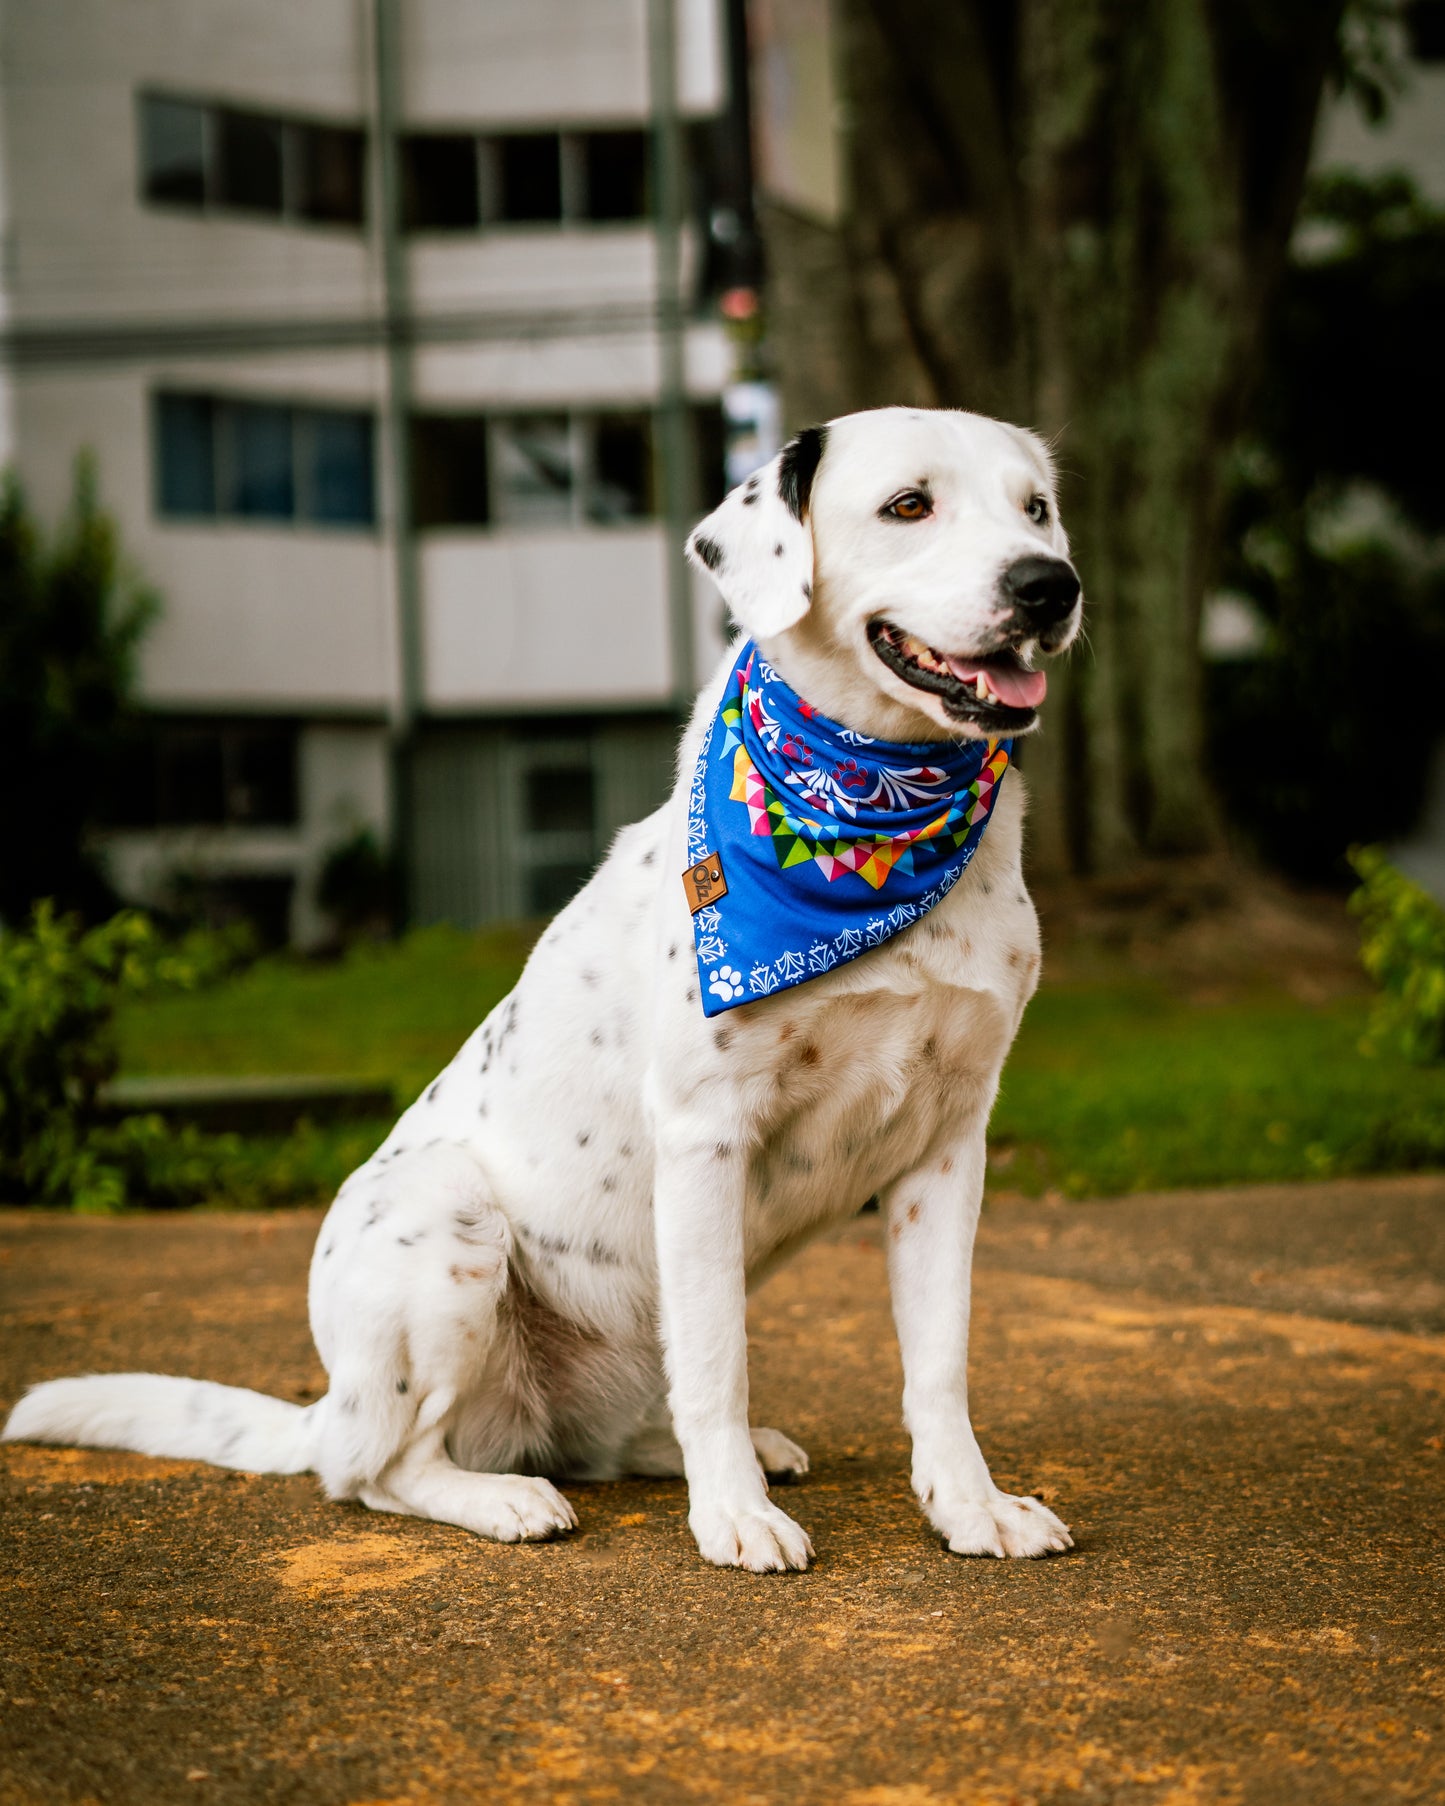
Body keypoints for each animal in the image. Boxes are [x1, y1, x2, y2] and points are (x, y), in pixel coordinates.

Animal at [2, 406, 1083, 1567]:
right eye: (907, 505)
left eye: (1034, 508)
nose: (1048, 585)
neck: (869, 808)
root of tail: (328, 1407)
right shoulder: (705, 1134)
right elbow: (718, 1361)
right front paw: (736, 1517)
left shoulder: (947, 1141)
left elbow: (936, 1365)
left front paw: (969, 1505)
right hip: (447, 1225)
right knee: (377, 1472)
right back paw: (505, 1498)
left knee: (613, 1427)